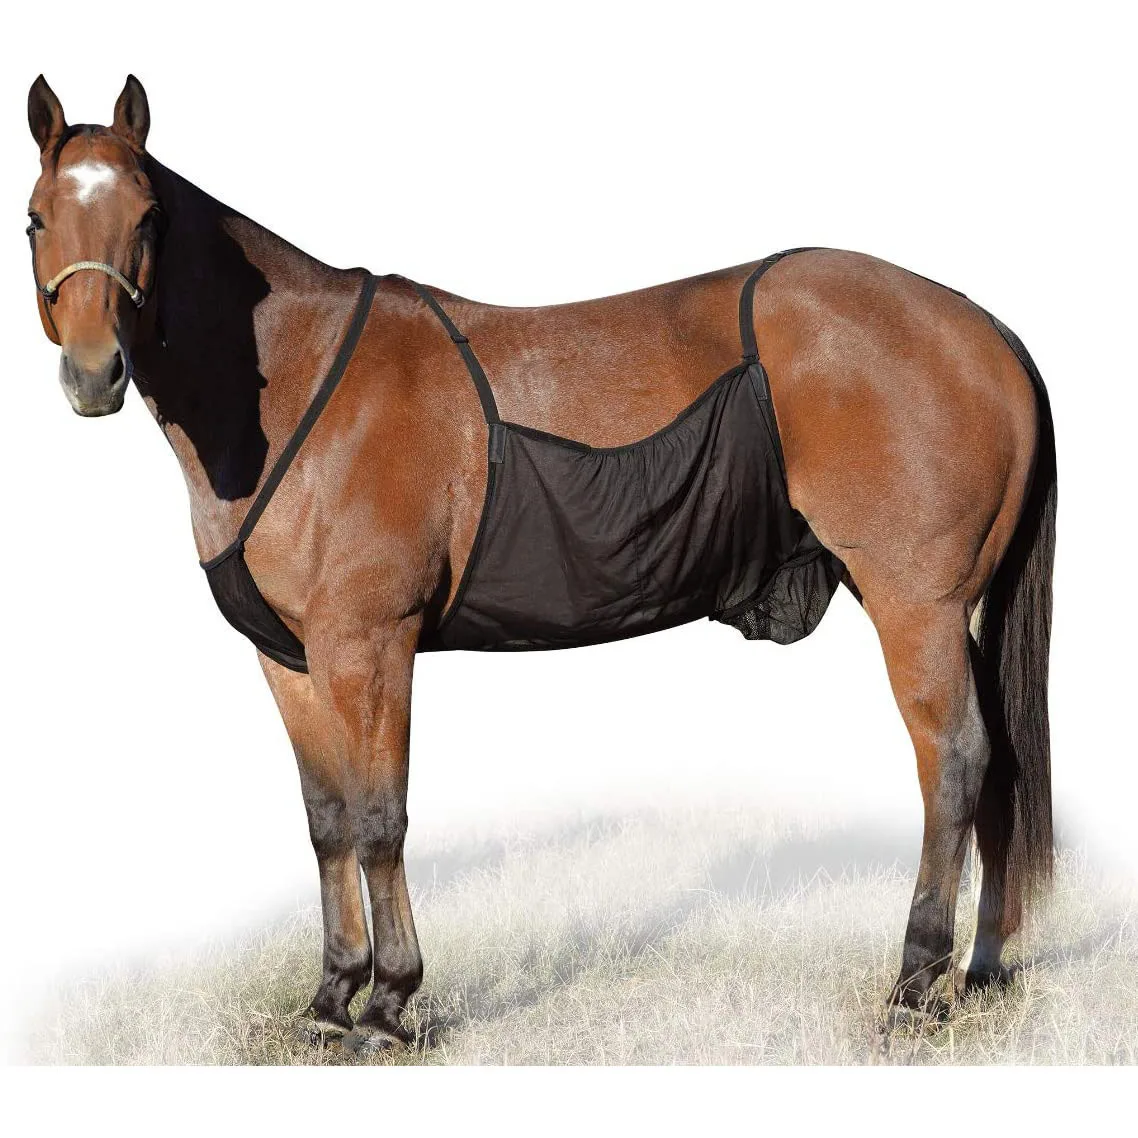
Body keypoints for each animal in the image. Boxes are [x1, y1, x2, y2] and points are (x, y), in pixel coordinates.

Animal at [25, 74, 1055, 1052]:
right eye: (36, 217)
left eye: (147, 217)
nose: (94, 373)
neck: (297, 386)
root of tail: (982, 327)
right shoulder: (291, 658)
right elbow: (326, 823)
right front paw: (329, 998)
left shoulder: (370, 646)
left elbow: (380, 819)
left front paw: (389, 1006)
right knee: (997, 763)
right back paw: (982, 968)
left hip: (917, 606)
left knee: (955, 761)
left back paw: (916, 985)